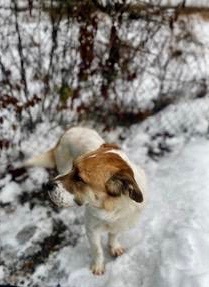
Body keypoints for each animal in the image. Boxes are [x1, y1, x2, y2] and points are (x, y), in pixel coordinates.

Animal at [24, 127, 147, 276]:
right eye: (73, 168)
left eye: (79, 178)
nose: (47, 185)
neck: (112, 209)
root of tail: (70, 130)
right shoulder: (91, 230)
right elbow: (97, 250)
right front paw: (98, 266)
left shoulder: (120, 224)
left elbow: (113, 236)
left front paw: (114, 247)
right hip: (62, 165)